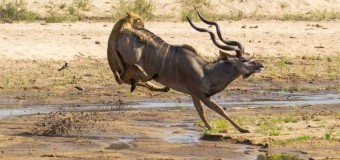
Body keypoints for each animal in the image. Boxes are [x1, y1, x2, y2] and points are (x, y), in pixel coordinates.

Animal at [113, 12, 264, 132]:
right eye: (243, 59)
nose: (261, 65)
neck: (206, 71)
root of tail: (122, 33)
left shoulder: (194, 94)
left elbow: (201, 111)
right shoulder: (200, 94)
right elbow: (218, 110)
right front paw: (242, 129)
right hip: (130, 60)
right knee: (123, 73)